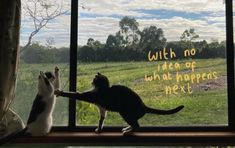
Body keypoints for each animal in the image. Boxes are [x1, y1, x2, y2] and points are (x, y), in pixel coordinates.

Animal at [55, 72, 184, 134]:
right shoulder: (102, 109)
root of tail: (144, 106)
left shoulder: (91, 96)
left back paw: (128, 131)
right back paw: (127, 128)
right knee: (135, 124)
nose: (92, 82)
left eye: (94, 80)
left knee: (137, 126)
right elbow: (101, 120)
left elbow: (75, 94)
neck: (104, 88)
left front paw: (59, 92)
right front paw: (99, 130)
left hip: (125, 112)